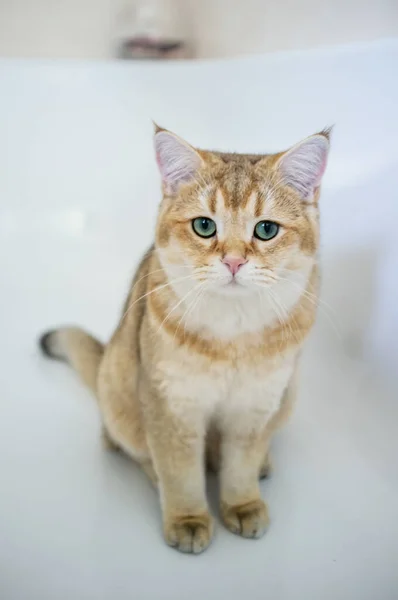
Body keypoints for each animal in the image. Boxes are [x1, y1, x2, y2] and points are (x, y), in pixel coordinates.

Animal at [39, 124, 330, 556]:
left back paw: (263, 465)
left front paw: (242, 505)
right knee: (128, 446)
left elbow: (240, 465)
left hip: (288, 395)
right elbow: (180, 473)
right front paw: (188, 520)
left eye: (266, 230)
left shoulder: (257, 404)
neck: (232, 334)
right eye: (204, 226)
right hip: (119, 392)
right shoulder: (171, 404)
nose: (233, 261)